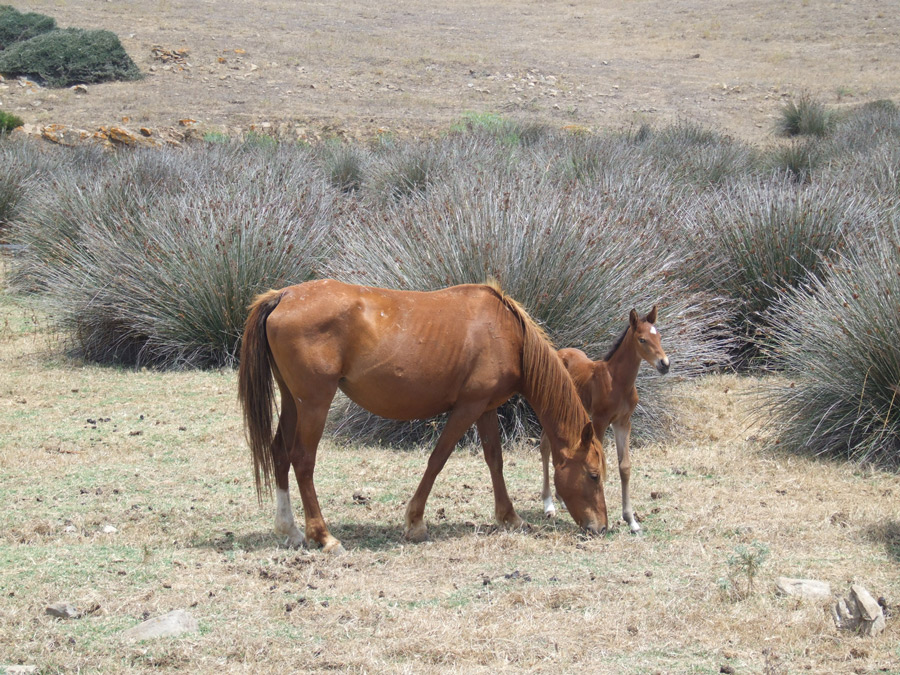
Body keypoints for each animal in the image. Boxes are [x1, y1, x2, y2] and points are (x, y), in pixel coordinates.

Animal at [239, 279, 608, 553]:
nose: (602, 527)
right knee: (302, 460)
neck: (507, 333)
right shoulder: (468, 407)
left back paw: (290, 530)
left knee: (279, 452)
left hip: (293, 401)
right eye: (593, 476)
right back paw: (324, 536)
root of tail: (284, 295)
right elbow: (438, 459)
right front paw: (415, 522)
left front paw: (510, 517)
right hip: (314, 403)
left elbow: (495, 460)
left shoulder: (486, 407)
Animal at [540, 307, 669, 534]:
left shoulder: (623, 422)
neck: (617, 381)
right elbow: (598, 462)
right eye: (642, 339)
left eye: (659, 336)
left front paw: (631, 521)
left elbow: (624, 467)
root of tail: (559, 352)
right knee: (545, 445)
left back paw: (560, 499)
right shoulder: (600, 420)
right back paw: (549, 504)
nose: (664, 364)